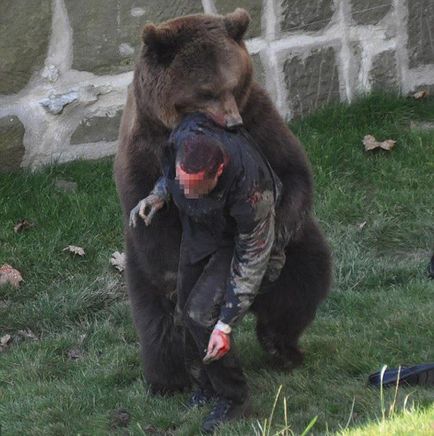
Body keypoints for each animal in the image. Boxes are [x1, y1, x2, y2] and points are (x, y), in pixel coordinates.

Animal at [113, 7, 330, 396]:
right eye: (206, 91)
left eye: (233, 83)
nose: (232, 122)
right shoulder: (143, 148)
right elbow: (154, 222)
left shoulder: (258, 117)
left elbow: (292, 170)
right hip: (138, 268)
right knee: (157, 324)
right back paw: (171, 378)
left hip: (299, 255)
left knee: (305, 279)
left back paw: (281, 346)